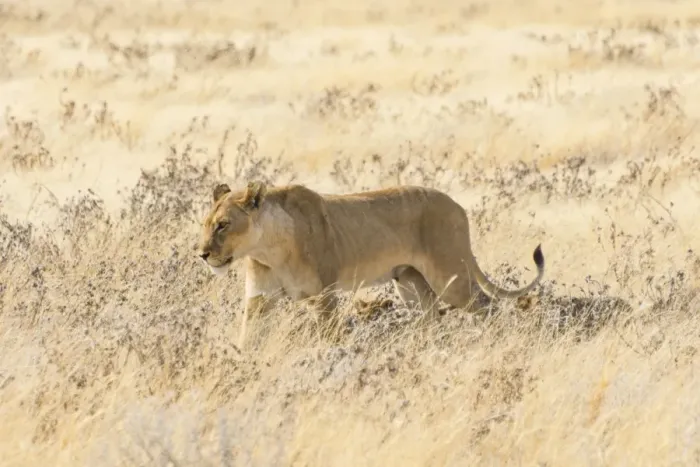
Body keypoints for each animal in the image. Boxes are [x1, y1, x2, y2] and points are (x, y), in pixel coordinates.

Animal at [197, 181, 545, 343]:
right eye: (206, 224)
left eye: (223, 225)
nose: (201, 254)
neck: (267, 248)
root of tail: (458, 206)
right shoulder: (259, 299)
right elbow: (249, 337)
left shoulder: (323, 296)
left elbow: (328, 337)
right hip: (411, 283)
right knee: (431, 316)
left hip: (450, 277)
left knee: (488, 305)